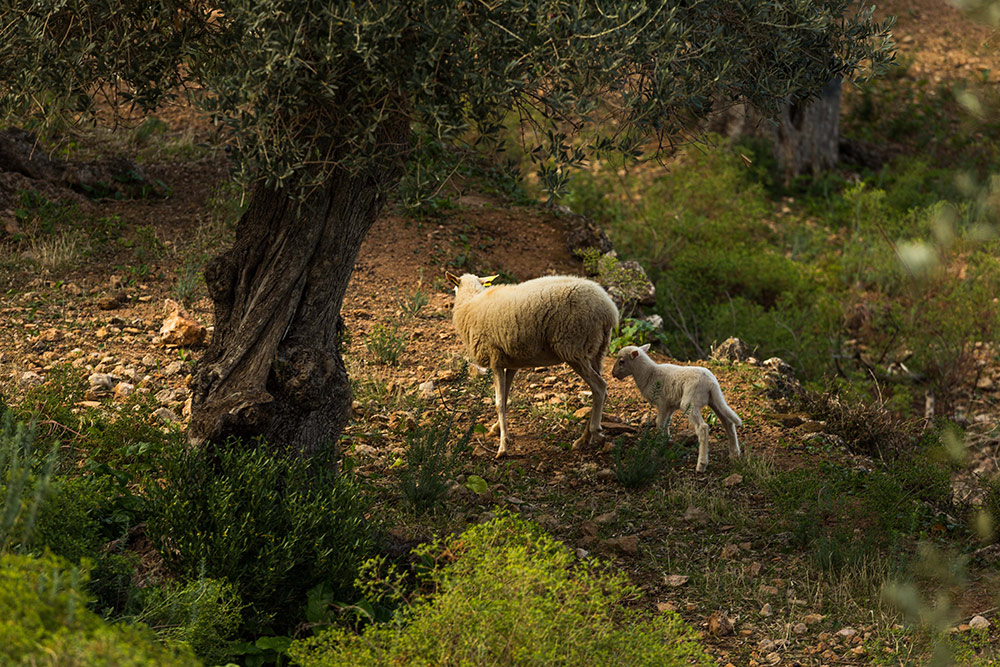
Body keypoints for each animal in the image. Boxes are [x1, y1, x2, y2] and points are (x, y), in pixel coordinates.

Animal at [446, 272, 616, 460]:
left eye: (454, 287)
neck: (471, 302)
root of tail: (609, 311)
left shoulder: (495, 359)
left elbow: (498, 402)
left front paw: (502, 447)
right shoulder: (510, 364)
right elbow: (505, 398)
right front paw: (498, 430)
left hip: (573, 347)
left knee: (599, 387)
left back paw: (595, 432)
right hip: (595, 351)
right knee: (598, 391)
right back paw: (583, 439)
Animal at [608, 344, 744, 474]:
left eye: (621, 361)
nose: (613, 374)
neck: (648, 374)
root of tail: (711, 383)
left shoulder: (662, 403)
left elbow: (659, 423)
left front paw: (660, 445)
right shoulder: (670, 405)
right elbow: (666, 423)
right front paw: (667, 441)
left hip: (690, 402)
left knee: (703, 428)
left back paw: (701, 465)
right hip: (715, 400)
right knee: (728, 422)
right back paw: (734, 454)